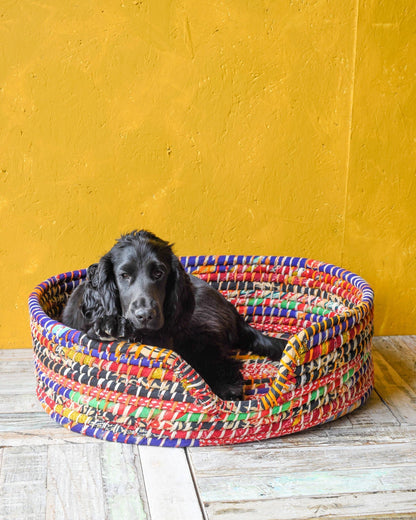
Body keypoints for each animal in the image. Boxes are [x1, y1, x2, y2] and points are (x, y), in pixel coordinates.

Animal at [61, 230, 288, 400]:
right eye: (124, 275)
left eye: (159, 273)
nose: (145, 315)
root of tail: (233, 311)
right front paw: (109, 325)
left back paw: (228, 387)